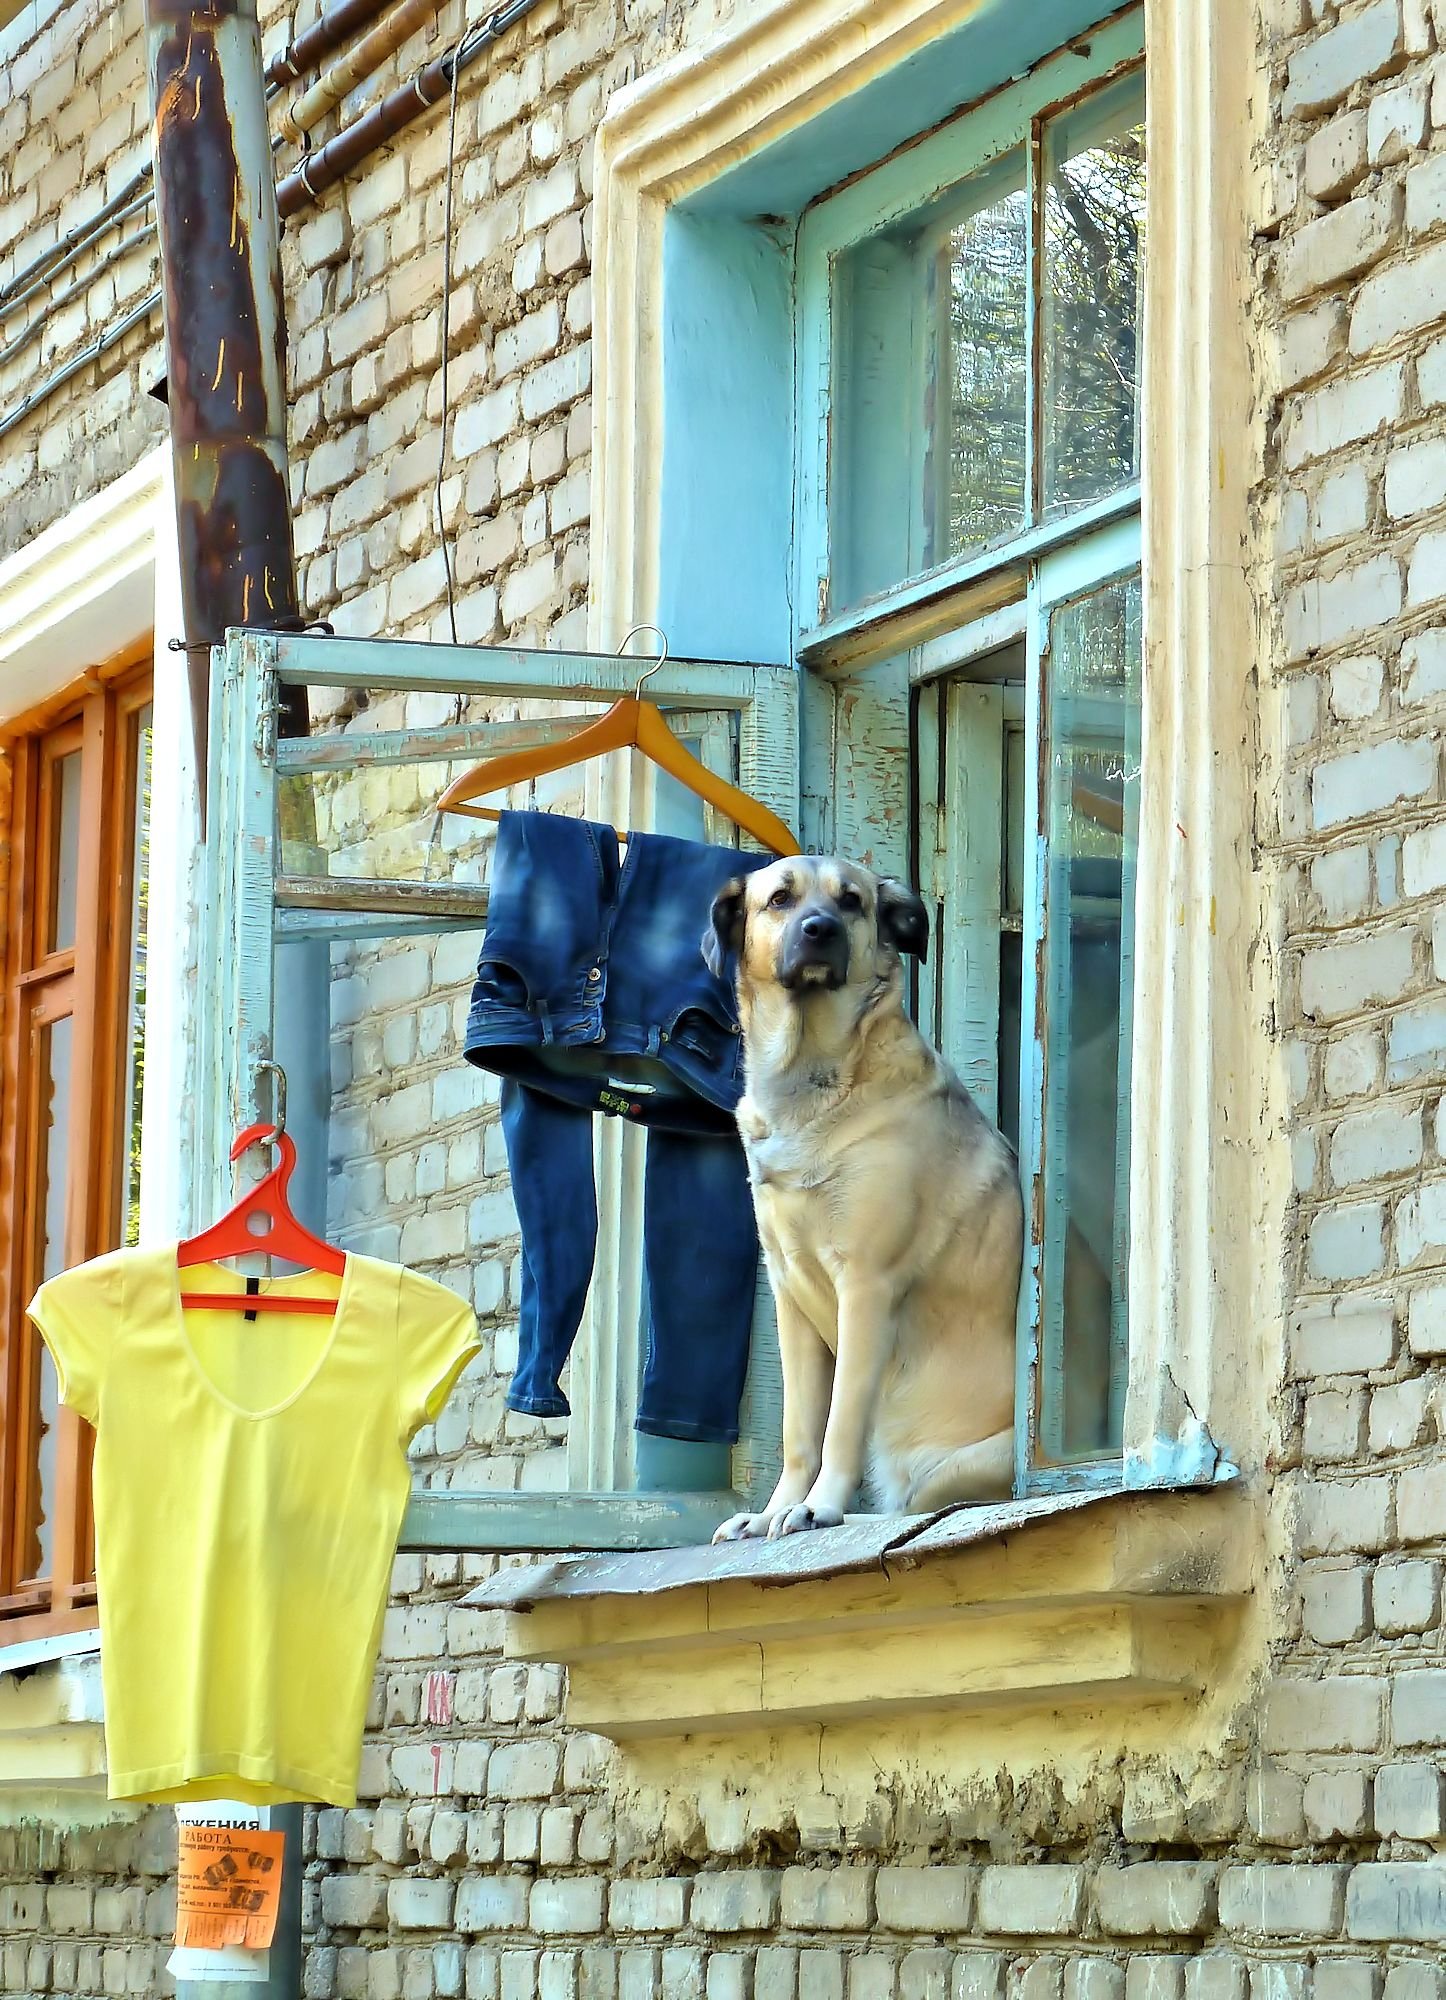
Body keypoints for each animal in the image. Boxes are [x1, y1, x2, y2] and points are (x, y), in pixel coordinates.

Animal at [704, 852, 1024, 1536]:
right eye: (779, 899)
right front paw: (774, 1511)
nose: (820, 929)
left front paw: (818, 1506)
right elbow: (800, 1428)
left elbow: (840, 1423)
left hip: (954, 1472)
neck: (812, 1079)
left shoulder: (866, 1285)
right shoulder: (789, 1296)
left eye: (851, 901)